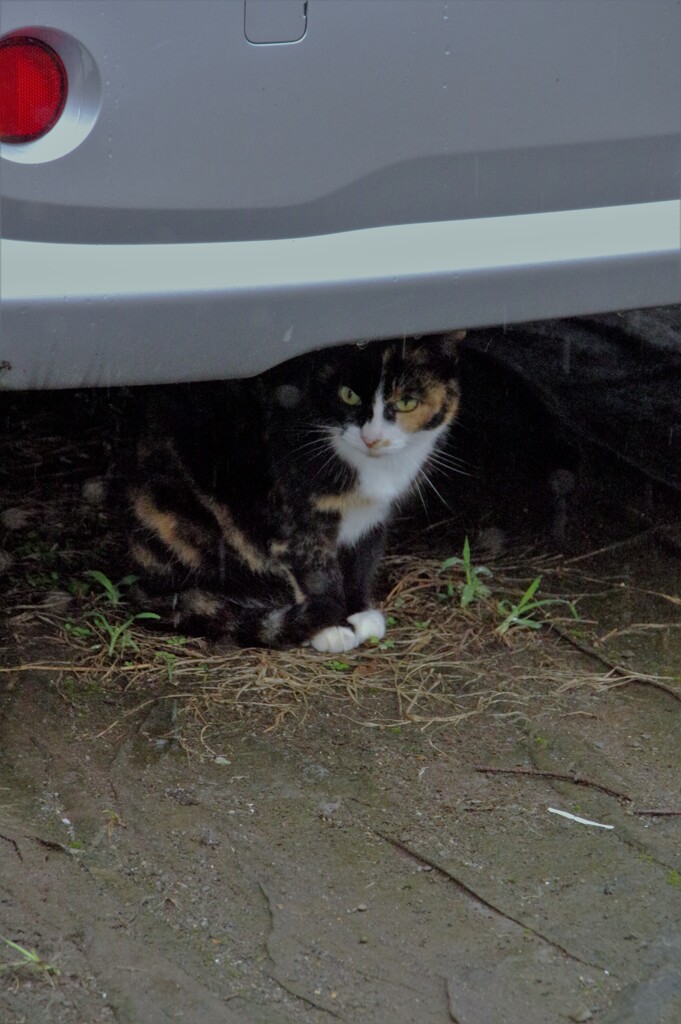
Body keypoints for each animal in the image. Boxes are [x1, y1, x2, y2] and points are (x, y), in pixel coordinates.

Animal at [124, 335, 462, 655]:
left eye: (406, 403)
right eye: (348, 395)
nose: (372, 438)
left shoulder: (376, 514)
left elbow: (364, 558)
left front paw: (360, 612)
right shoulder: (298, 513)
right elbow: (317, 569)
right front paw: (332, 627)